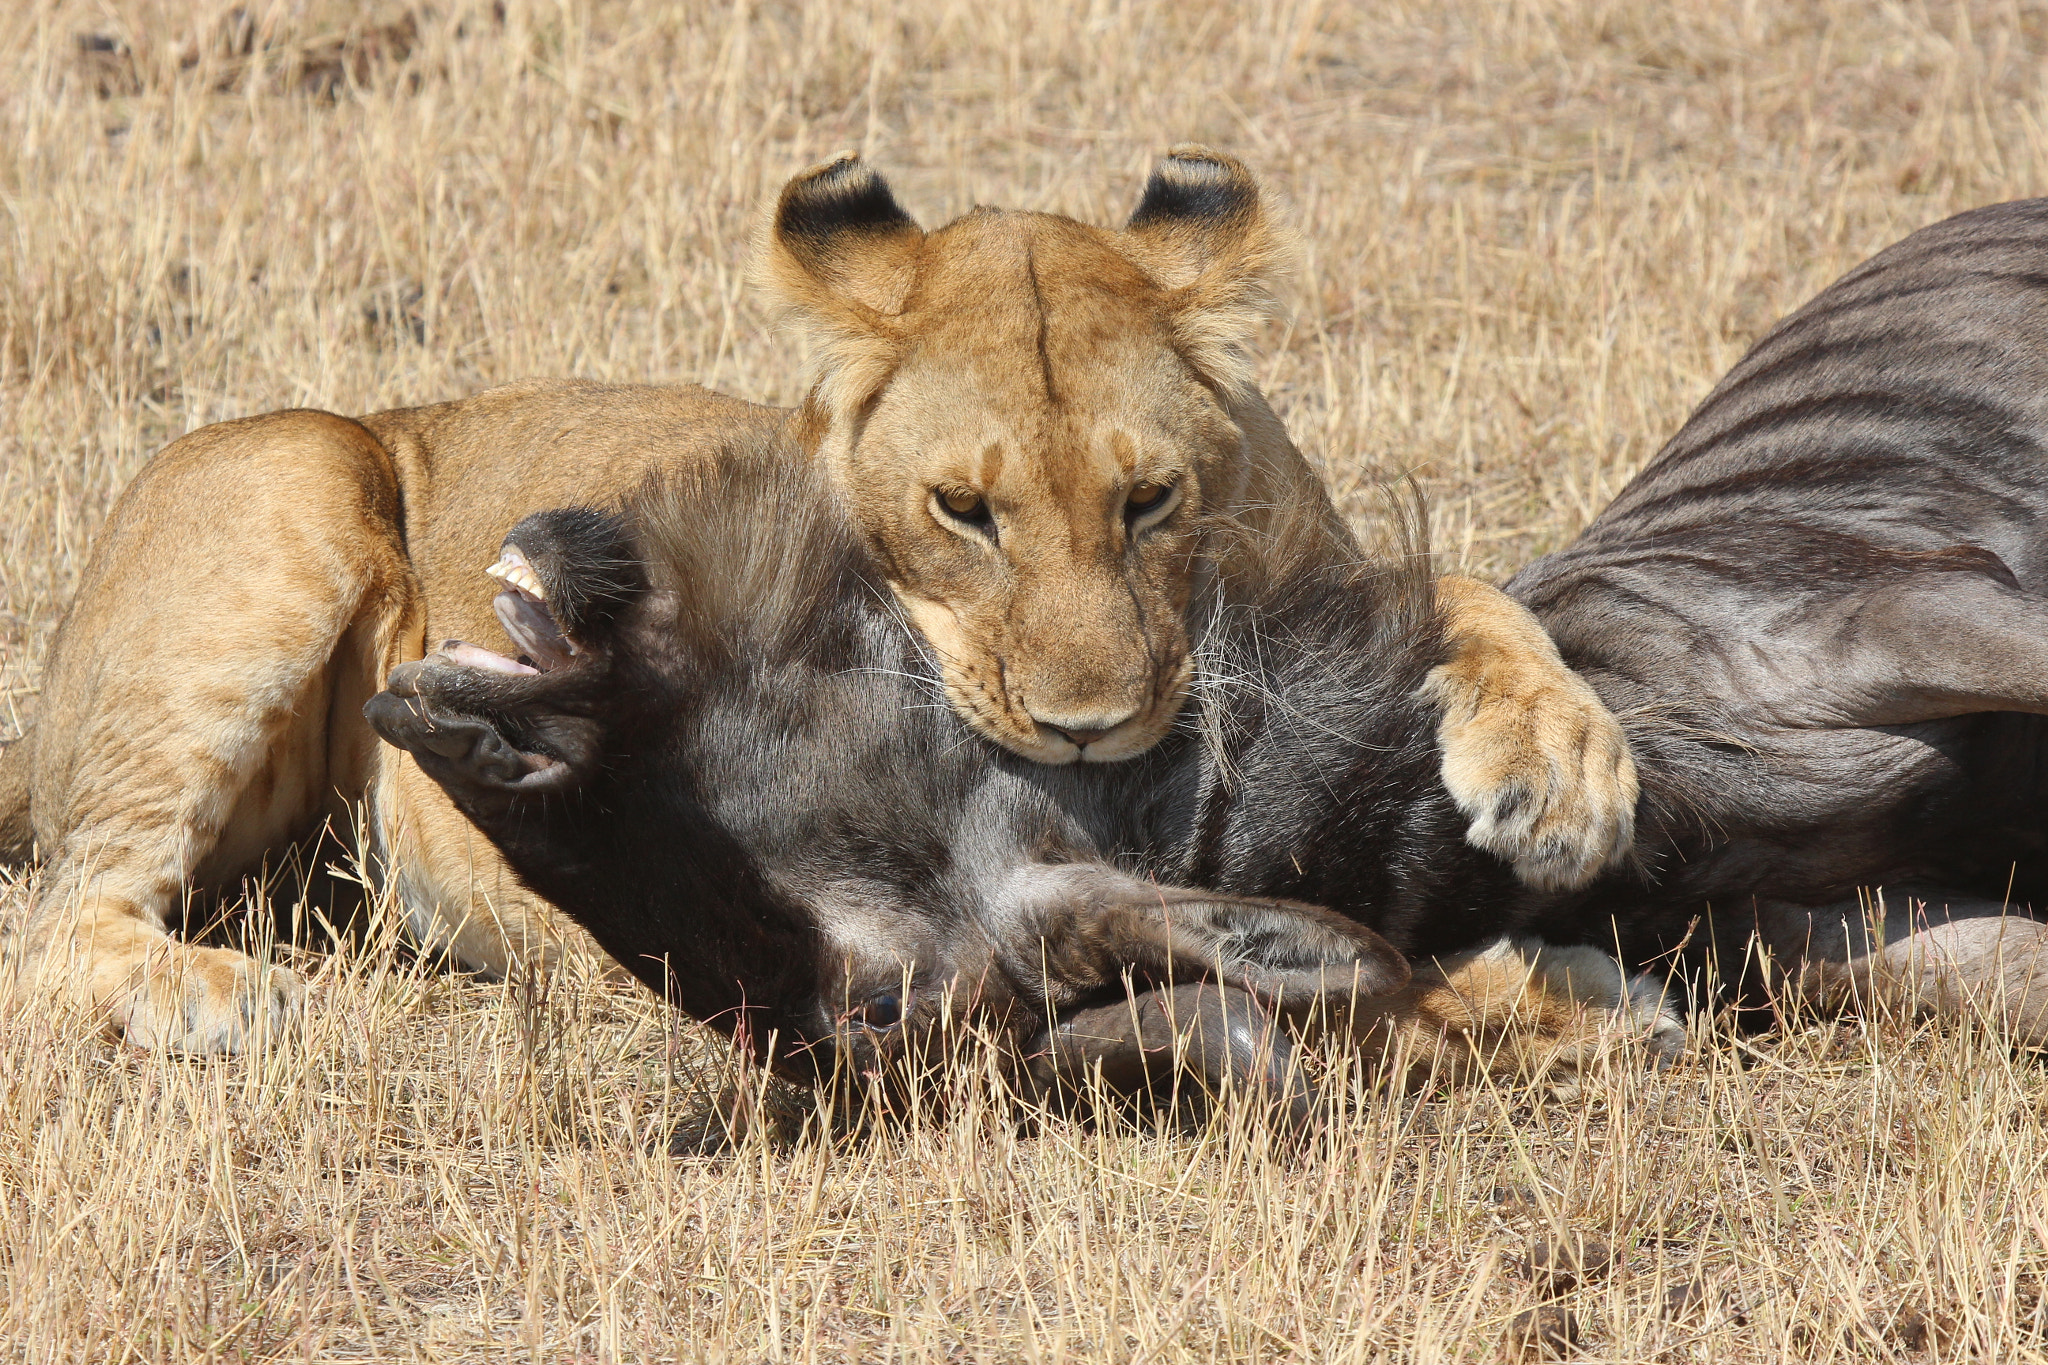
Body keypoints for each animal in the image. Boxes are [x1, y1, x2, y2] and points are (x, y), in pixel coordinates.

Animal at [0, 147, 1636, 1053]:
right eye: (963, 512)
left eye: (1148, 501)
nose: (1093, 731)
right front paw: (1539, 987)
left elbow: (1477, 592)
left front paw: (1565, 775)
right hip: (296, 483)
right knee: (66, 919)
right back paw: (230, 1000)